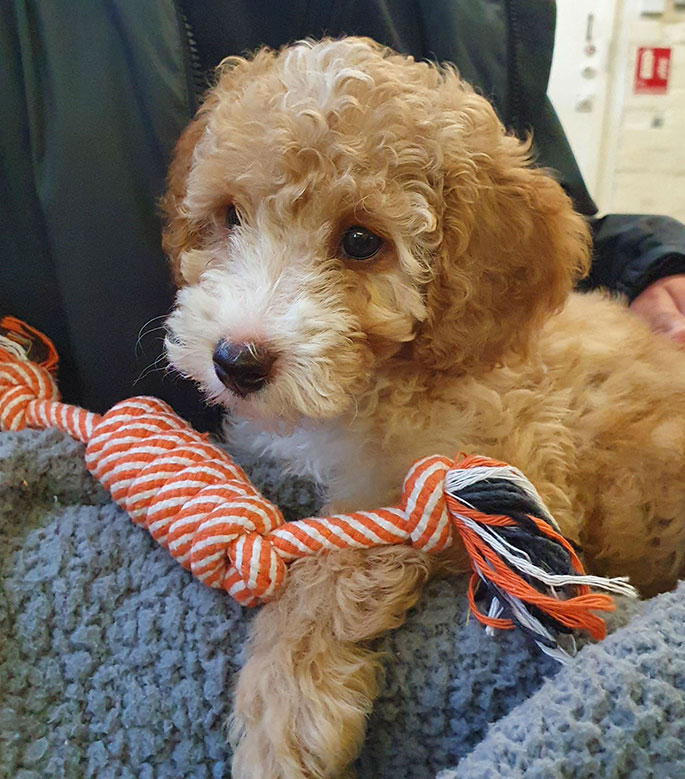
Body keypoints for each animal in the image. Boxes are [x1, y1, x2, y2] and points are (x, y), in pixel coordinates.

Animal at [163, 39, 684, 779]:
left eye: (361, 241)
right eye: (230, 216)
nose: (236, 362)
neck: (373, 383)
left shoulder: (491, 482)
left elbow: (339, 552)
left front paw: (283, 708)